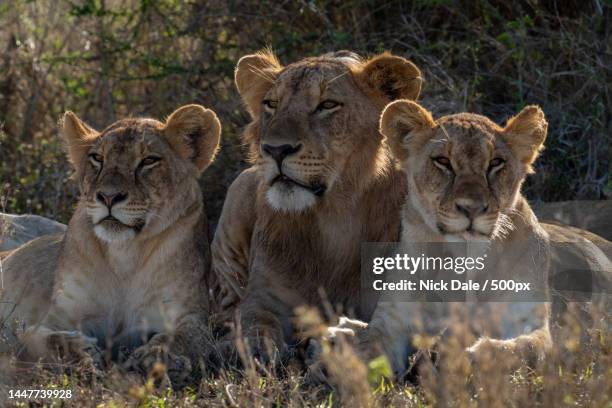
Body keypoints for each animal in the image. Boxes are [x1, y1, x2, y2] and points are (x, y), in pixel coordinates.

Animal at [0, 103, 220, 384]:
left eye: (148, 160)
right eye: (97, 158)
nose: (108, 196)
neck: (124, 254)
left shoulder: (188, 316)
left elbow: (183, 339)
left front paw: (156, 359)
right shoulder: (58, 315)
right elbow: (40, 338)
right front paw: (82, 353)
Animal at [210, 49, 420, 358]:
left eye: (327, 105)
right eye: (271, 104)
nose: (275, 149)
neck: (335, 217)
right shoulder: (265, 297)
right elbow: (255, 326)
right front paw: (258, 351)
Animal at [330, 102, 612, 380]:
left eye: (496, 163)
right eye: (443, 161)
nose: (471, 208)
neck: (464, 259)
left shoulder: (530, 322)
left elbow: (518, 349)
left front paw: (463, 356)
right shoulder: (392, 320)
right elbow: (369, 351)